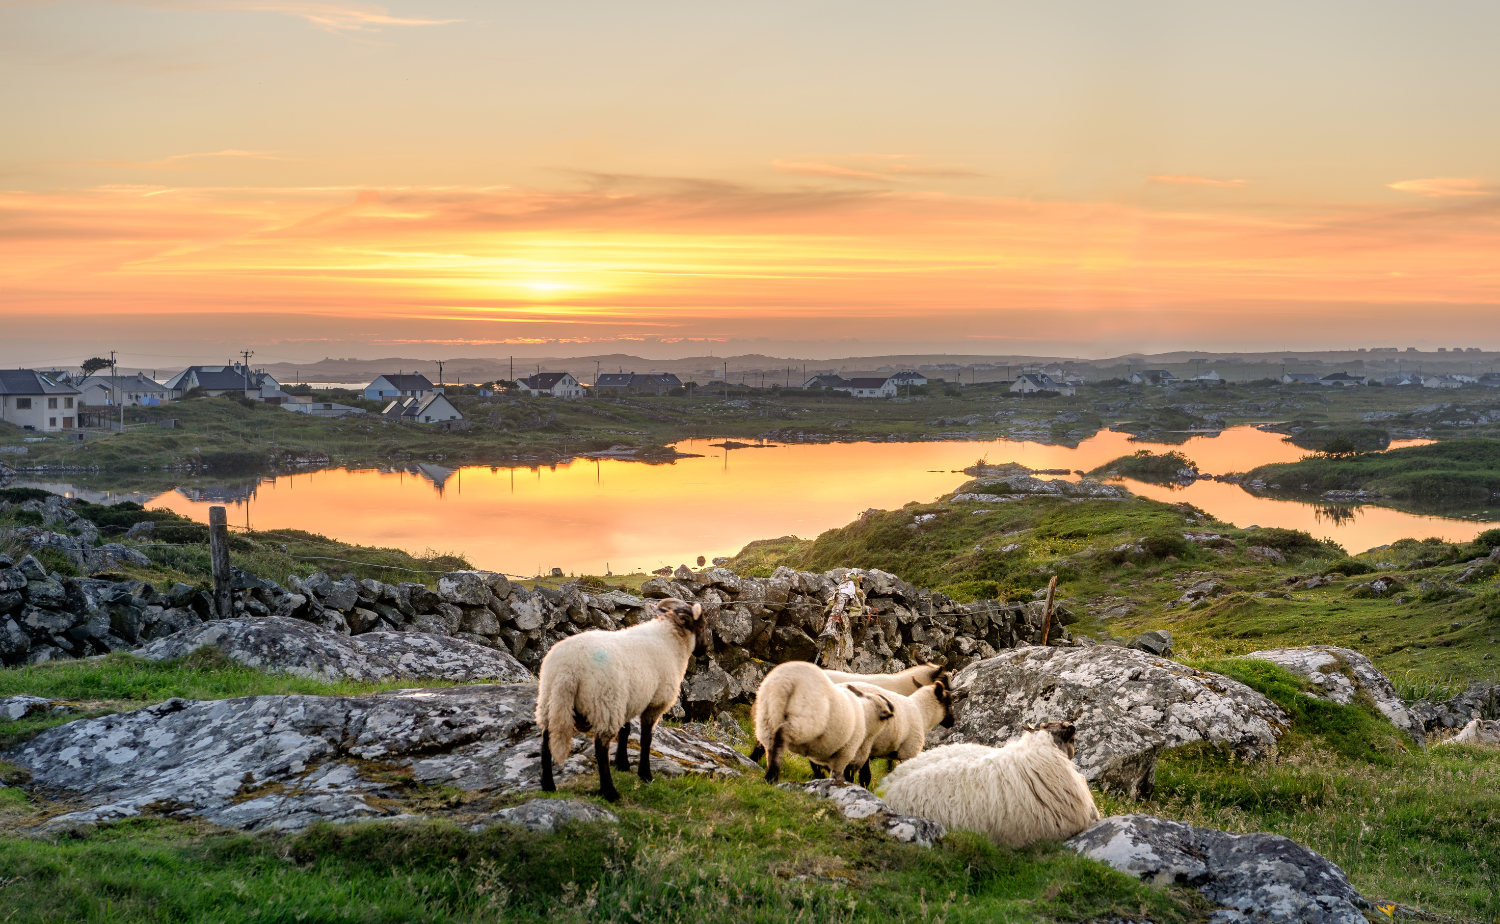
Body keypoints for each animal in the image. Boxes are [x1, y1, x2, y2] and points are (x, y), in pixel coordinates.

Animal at [535, 597, 707, 802]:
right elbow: (646, 739)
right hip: (604, 703)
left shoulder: (628, 700)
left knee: (546, 741)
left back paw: (548, 785)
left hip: (550, 700)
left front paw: (622, 763)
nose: (704, 651)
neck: (672, 641)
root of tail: (568, 668)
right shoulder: (655, 702)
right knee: (600, 748)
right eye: (702, 626)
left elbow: (626, 731)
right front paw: (645, 774)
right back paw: (609, 792)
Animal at [754, 661, 896, 784]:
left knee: (769, 744)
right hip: (807, 718)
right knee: (782, 734)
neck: (866, 714)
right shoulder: (845, 751)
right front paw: (841, 782)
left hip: (767, 715)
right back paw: (772, 776)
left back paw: (771, 775)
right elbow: (840, 772)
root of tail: (787, 679)